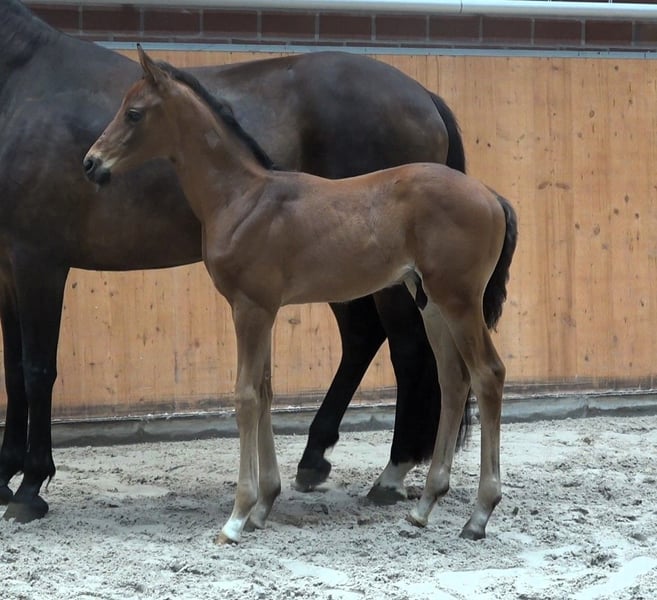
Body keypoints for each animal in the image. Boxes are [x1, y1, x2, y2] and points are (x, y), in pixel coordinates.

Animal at [1, 0, 474, 523]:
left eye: (134, 114)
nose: (91, 164)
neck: (23, 84)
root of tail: (423, 95)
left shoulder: (38, 260)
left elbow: (37, 369)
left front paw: (30, 486)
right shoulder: (8, 266)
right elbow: (14, 371)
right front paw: (6, 474)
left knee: (406, 349)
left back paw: (391, 473)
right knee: (363, 338)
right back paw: (315, 459)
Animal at [83, 47, 518, 544]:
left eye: (133, 113)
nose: (91, 163)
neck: (243, 198)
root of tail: (491, 196)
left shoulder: (250, 308)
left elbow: (246, 396)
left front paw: (237, 516)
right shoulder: (265, 309)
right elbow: (266, 391)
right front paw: (263, 506)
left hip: (459, 300)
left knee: (487, 374)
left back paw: (478, 515)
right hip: (431, 302)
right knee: (453, 379)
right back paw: (424, 505)